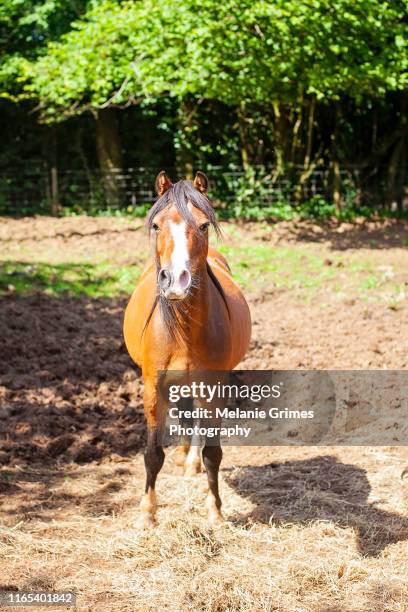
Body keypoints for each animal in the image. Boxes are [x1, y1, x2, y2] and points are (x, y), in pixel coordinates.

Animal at [123, 172, 252, 524]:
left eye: (204, 225)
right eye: (156, 226)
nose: (176, 280)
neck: (183, 329)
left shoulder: (213, 387)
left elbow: (213, 452)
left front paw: (215, 512)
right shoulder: (153, 387)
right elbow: (153, 453)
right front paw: (147, 514)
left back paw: (189, 459)